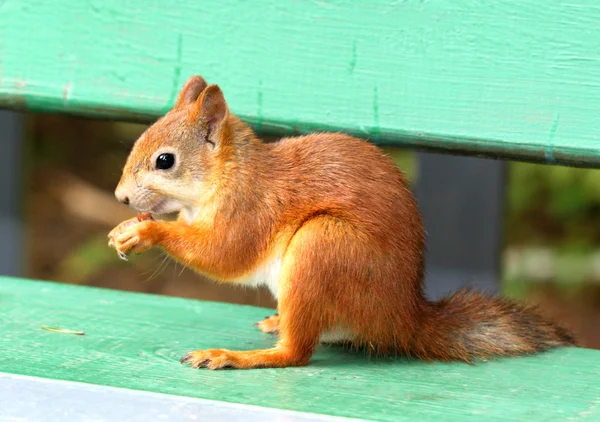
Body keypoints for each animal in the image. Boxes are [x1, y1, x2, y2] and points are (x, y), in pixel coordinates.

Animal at [108, 75, 576, 370]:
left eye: (164, 161)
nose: (121, 197)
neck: (229, 174)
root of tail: (403, 319)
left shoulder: (251, 208)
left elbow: (225, 255)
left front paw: (146, 230)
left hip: (324, 247)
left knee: (296, 355)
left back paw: (239, 356)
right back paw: (277, 321)